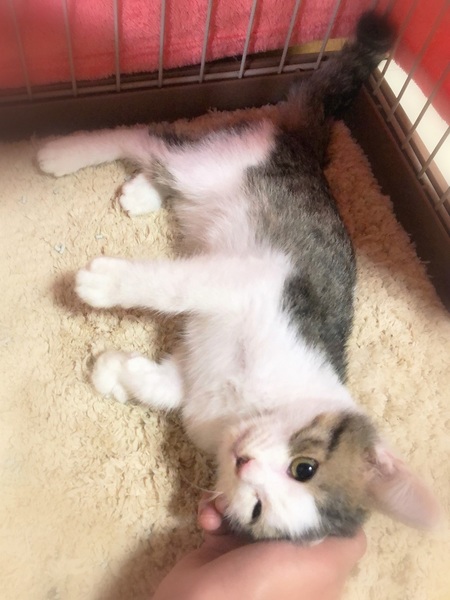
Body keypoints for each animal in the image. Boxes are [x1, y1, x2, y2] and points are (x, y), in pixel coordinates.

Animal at [37, 12, 438, 542]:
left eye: (256, 510)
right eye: (304, 467)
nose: (244, 463)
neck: (245, 406)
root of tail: (305, 144)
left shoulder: (194, 382)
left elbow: (165, 387)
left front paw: (113, 371)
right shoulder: (251, 279)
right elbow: (176, 285)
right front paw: (103, 285)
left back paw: (140, 192)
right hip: (214, 164)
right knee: (144, 136)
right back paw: (63, 152)